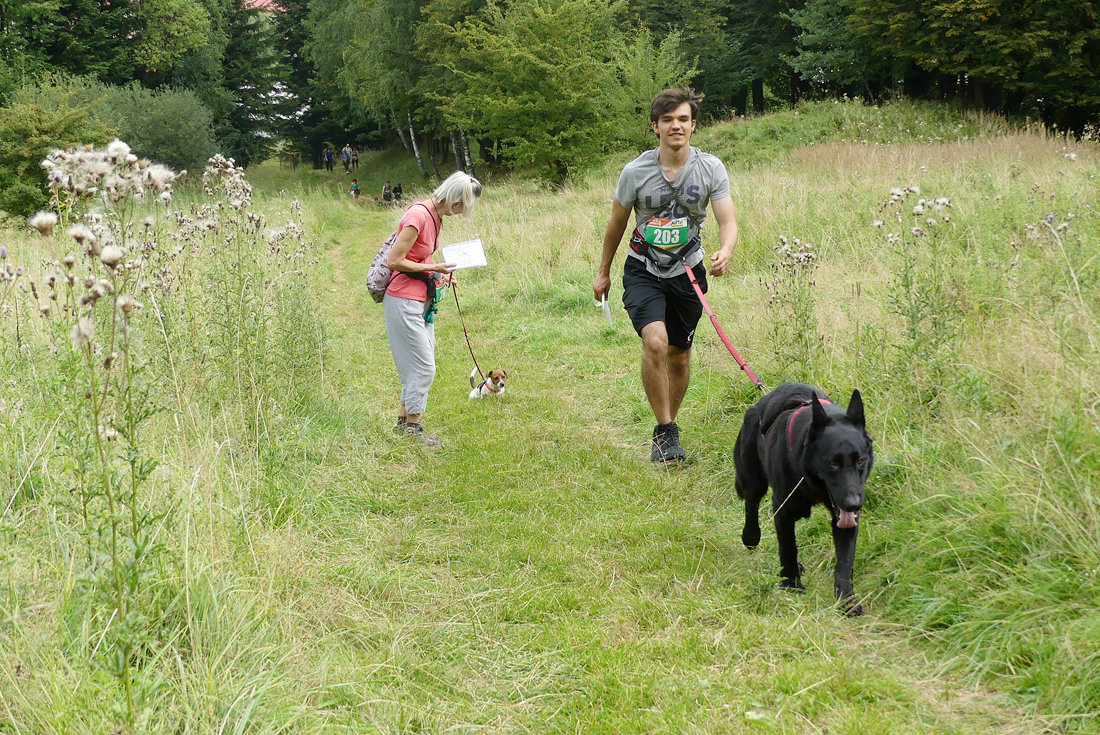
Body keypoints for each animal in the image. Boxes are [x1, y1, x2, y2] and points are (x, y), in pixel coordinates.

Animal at [733, 382, 873, 616]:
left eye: (860, 460)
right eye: (832, 462)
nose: (854, 503)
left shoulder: (845, 521)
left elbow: (844, 563)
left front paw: (847, 600)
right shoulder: (782, 510)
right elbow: (788, 547)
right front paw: (791, 584)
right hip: (752, 480)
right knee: (751, 504)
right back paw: (751, 536)